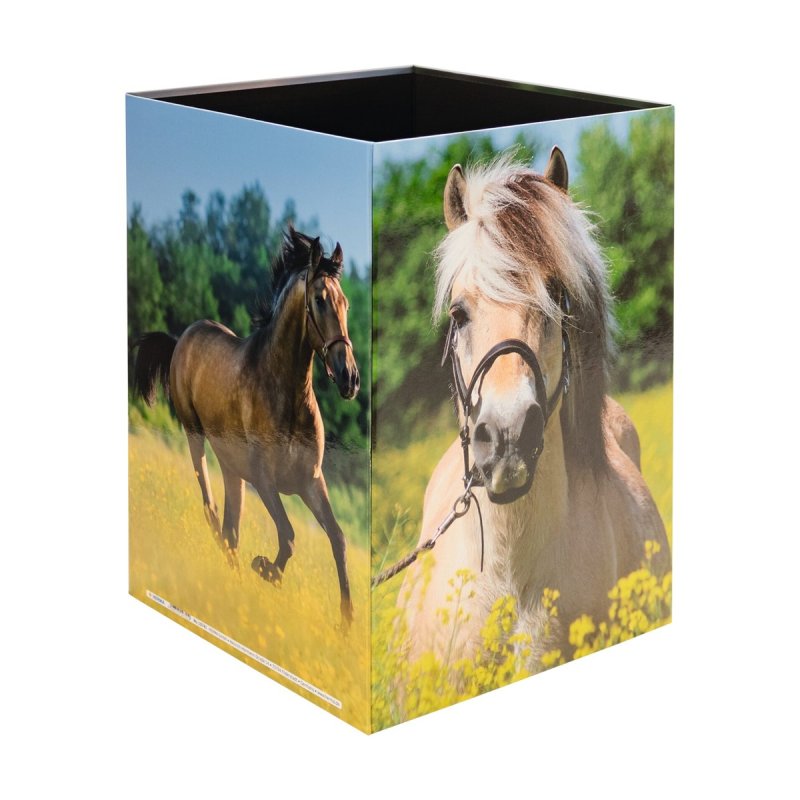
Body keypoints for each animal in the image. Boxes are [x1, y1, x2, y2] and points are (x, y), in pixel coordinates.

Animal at [133, 227, 360, 625]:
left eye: (345, 302)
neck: (286, 392)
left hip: (232, 469)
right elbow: (289, 536)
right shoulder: (264, 479)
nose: (349, 378)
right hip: (195, 435)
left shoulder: (311, 481)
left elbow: (338, 538)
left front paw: (347, 623)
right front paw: (266, 569)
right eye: (319, 300)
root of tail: (181, 339)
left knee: (230, 529)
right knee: (211, 510)